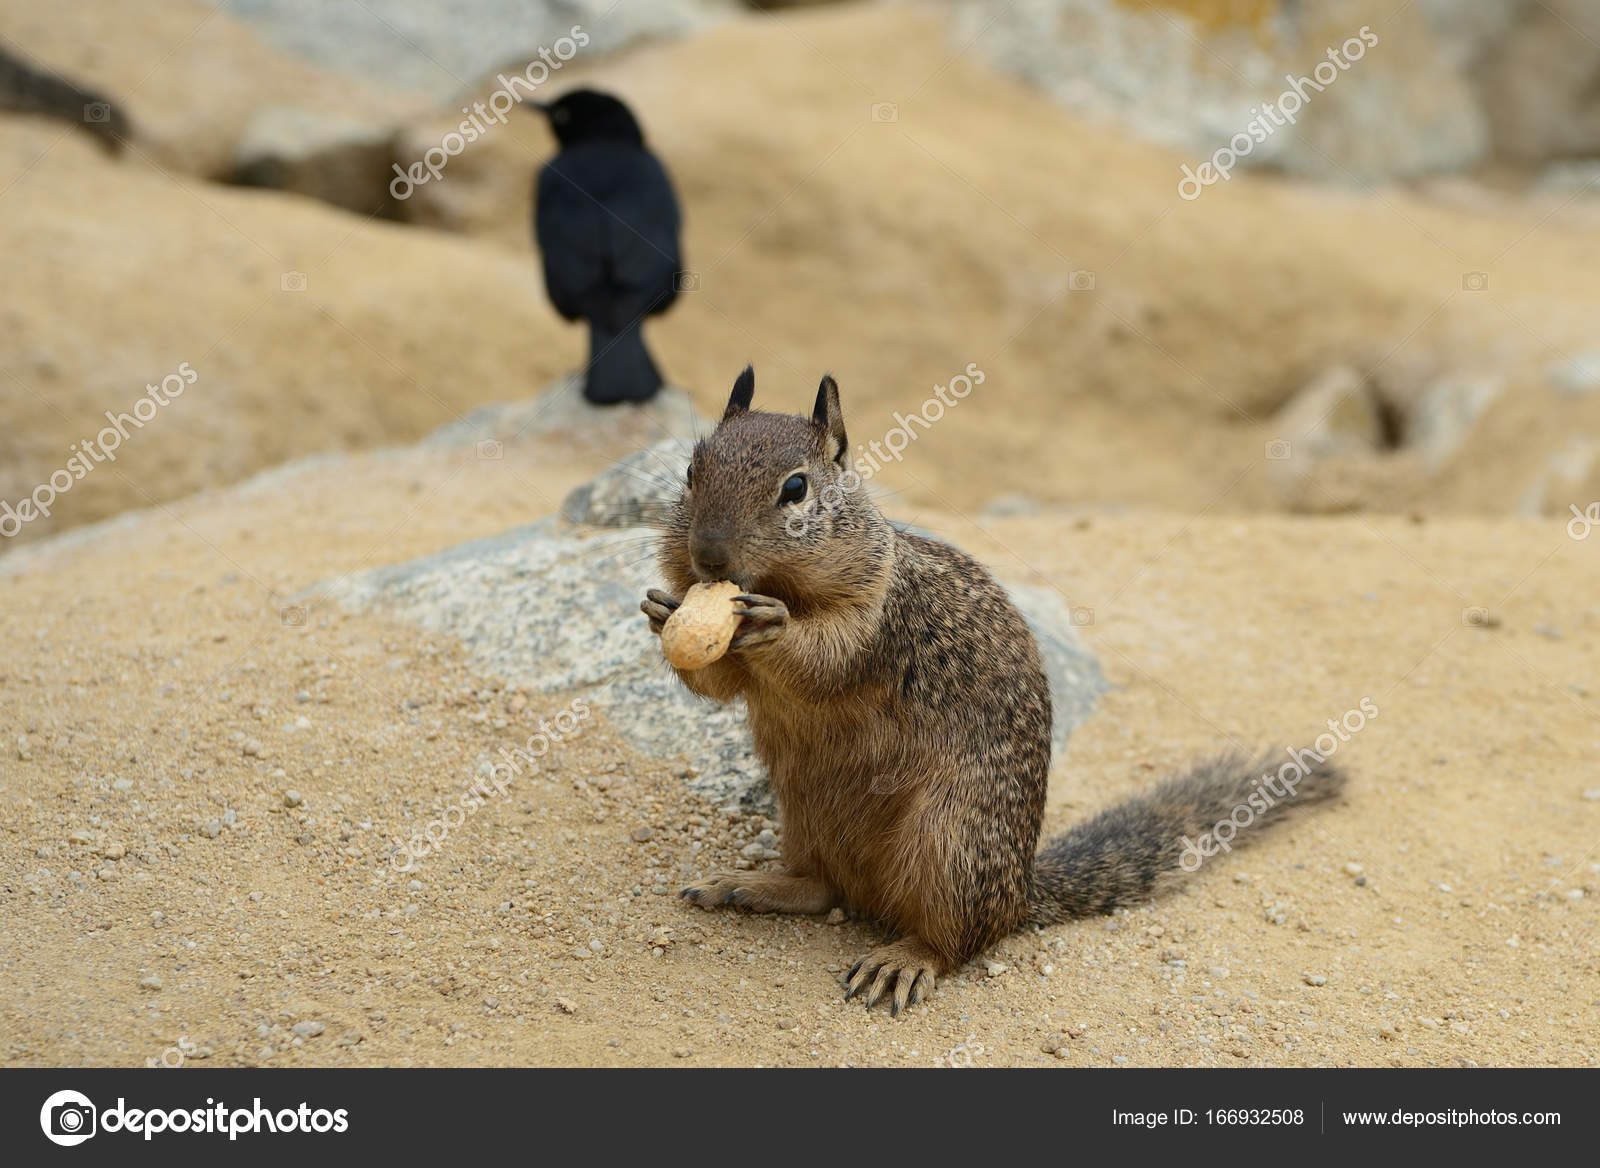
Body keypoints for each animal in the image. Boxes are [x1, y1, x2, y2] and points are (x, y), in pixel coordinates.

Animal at [643, 366, 1344, 1011]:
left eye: (795, 488)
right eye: (691, 470)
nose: (707, 557)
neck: (786, 585)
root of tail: (1022, 891)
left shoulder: (879, 621)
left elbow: (827, 658)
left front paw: (772, 624)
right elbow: (718, 683)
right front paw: (659, 609)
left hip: (950, 842)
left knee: (956, 939)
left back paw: (902, 960)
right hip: (805, 815)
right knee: (823, 889)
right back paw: (747, 884)